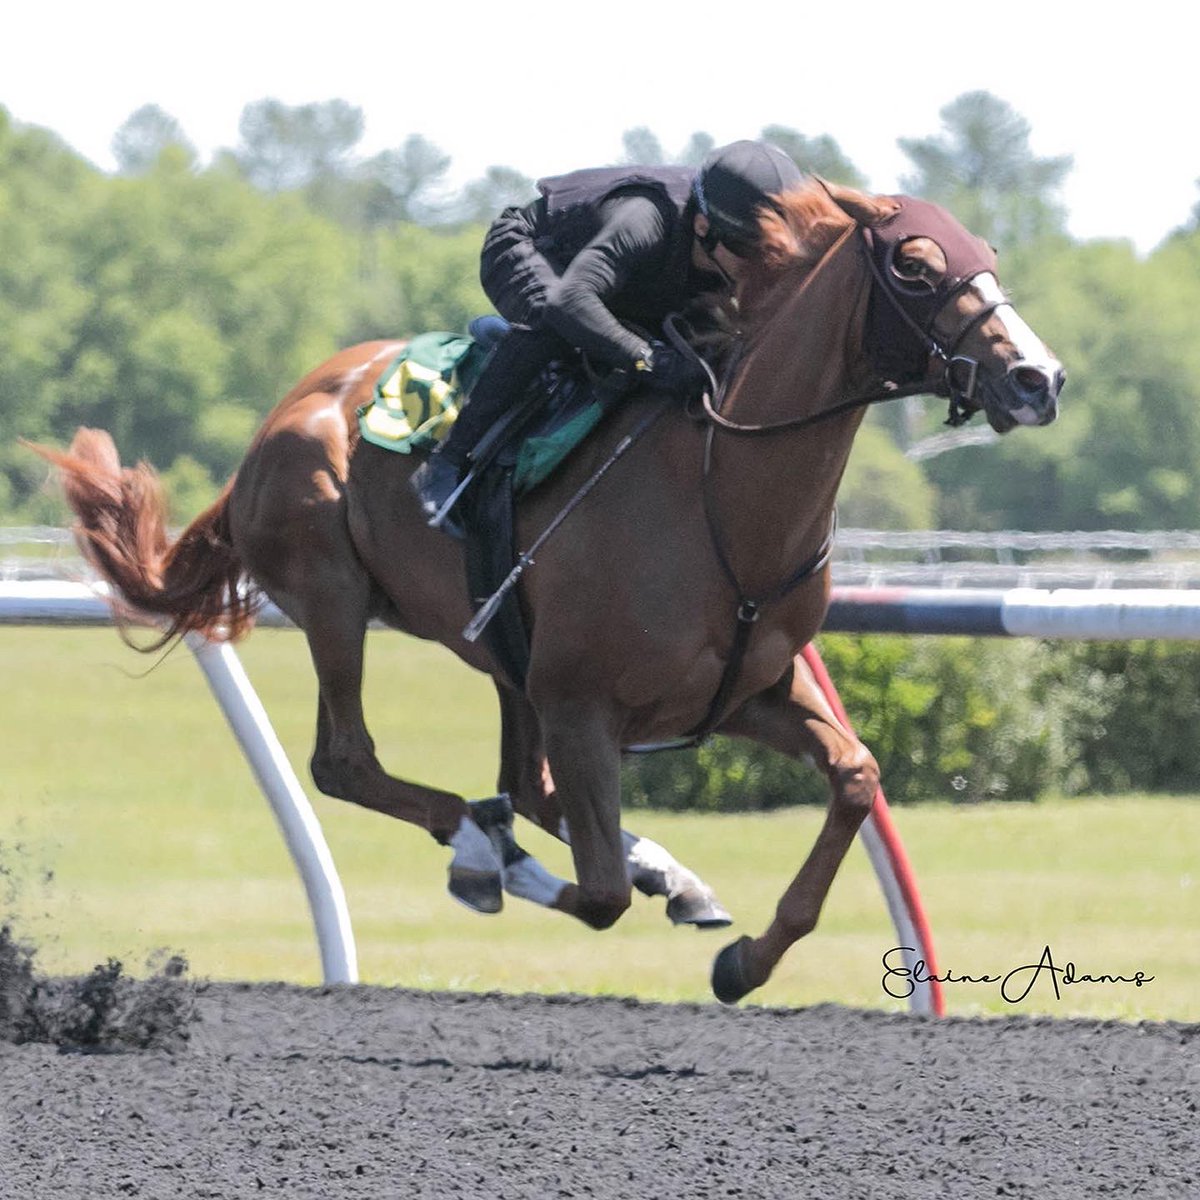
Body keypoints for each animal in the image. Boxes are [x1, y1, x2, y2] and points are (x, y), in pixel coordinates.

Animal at [33, 179, 1063, 1004]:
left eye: (986, 252)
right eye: (918, 266)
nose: (1037, 377)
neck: (720, 490)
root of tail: (284, 414)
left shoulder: (749, 692)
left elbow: (855, 777)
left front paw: (743, 962)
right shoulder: (584, 702)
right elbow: (597, 894)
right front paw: (504, 867)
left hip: (503, 654)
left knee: (524, 786)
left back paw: (666, 874)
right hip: (333, 593)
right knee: (351, 763)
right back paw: (482, 847)